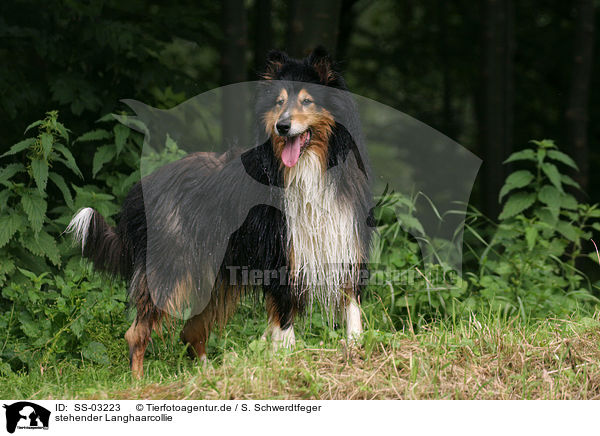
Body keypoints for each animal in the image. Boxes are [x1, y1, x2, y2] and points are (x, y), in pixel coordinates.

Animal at [68, 46, 372, 374]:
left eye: (306, 100)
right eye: (279, 102)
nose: (282, 126)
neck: (310, 169)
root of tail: (141, 191)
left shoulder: (344, 244)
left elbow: (352, 310)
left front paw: (356, 351)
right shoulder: (280, 257)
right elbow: (285, 324)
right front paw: (287, 362)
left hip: (211, 278)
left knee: (190, 332)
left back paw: (207, 375)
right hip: (173, 269)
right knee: (136, 333)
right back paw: (139, 381)